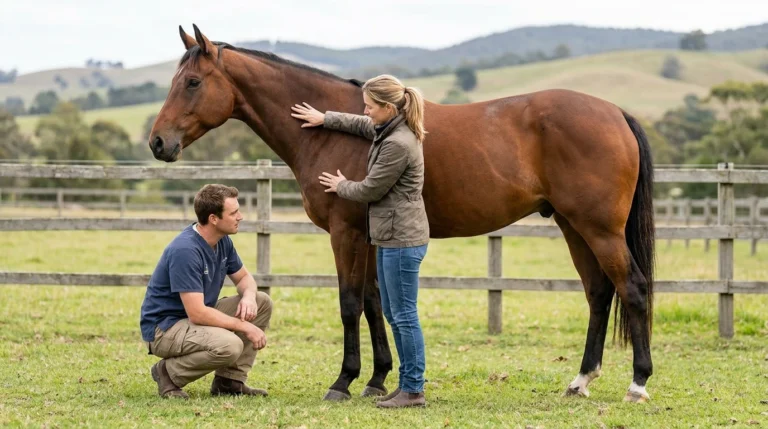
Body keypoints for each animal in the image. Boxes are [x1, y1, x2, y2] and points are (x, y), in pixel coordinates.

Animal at [149, 24, 656, 403]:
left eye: (193, 82)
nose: (158, 142)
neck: (336, 134)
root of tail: (616, 113)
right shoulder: (372, 237)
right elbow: (376, 302)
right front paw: (376, 380)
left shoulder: (345, 233)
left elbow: (350, 303)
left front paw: (343, 381)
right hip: (574, 226)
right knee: (598, 293)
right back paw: (580, 381)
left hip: (599, 229)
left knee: (631, 289)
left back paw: (637, 383)